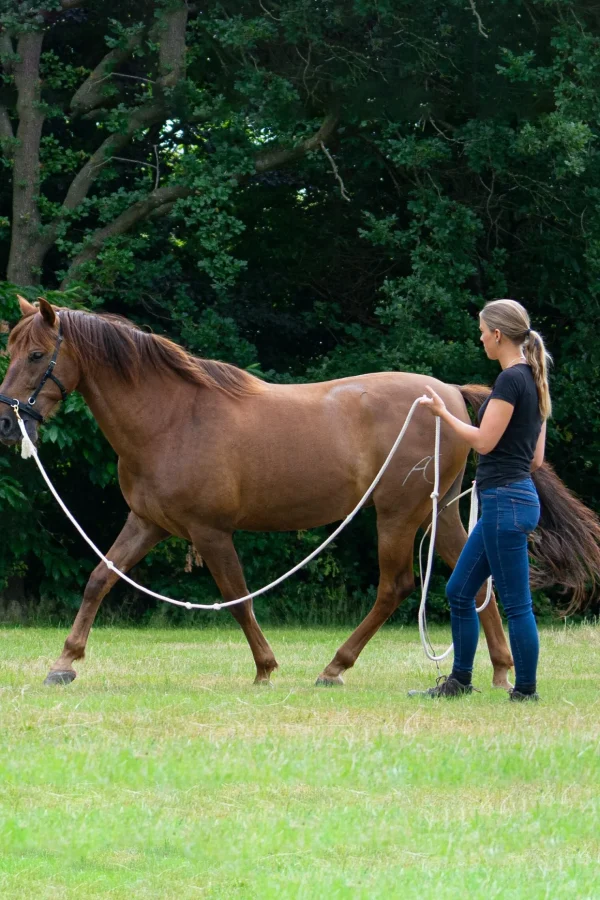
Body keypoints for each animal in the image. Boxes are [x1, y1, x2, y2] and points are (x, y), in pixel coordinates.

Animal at [1, 298, 600, 684]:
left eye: (36, 355)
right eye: (11, 351)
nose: (8, 424)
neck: (172, 417)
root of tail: (446, 395)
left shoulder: (211, 533)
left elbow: (238, 597)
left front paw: (266, 667)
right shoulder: (147, 523)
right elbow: (99, 580)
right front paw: (64, 662)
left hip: (397, 516)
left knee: (396, 587)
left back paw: (336, 666)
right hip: (440, 515)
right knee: (474, 580)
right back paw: (499, 671)